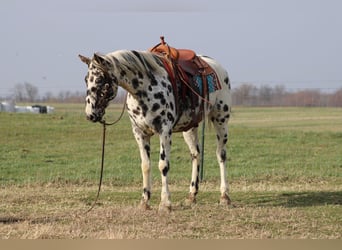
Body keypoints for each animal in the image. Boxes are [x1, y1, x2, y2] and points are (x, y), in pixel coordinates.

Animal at [79, 46, 231, 211]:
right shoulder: (139, 133)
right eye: (86, 80)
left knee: (221, 155)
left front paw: (165, 203)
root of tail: (217, 67)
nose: (90, 114)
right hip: (190, 127)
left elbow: (163, 165)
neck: (145, 88)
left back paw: (224, 196)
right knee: (196, 154)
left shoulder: (164, 131)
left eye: (99, 79)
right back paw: (191, 195)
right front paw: (145, 201)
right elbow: (145, 165)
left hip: (221, 120)